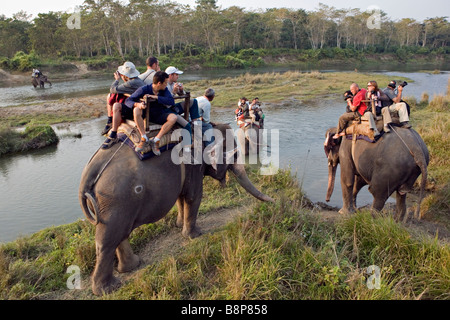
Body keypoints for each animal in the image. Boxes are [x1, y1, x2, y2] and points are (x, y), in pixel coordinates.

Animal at [78, 123, 272, 296]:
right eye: (234, 153)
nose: (273, 201)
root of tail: (89, 172)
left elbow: (181, 197)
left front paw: (179, 225)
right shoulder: (193, 163)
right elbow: (194, 196)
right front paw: (195, 235)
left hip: (111, 205)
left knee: (119, 234)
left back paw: (132, 266)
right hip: (115, 200)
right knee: (107, 240)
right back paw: (108, 289)